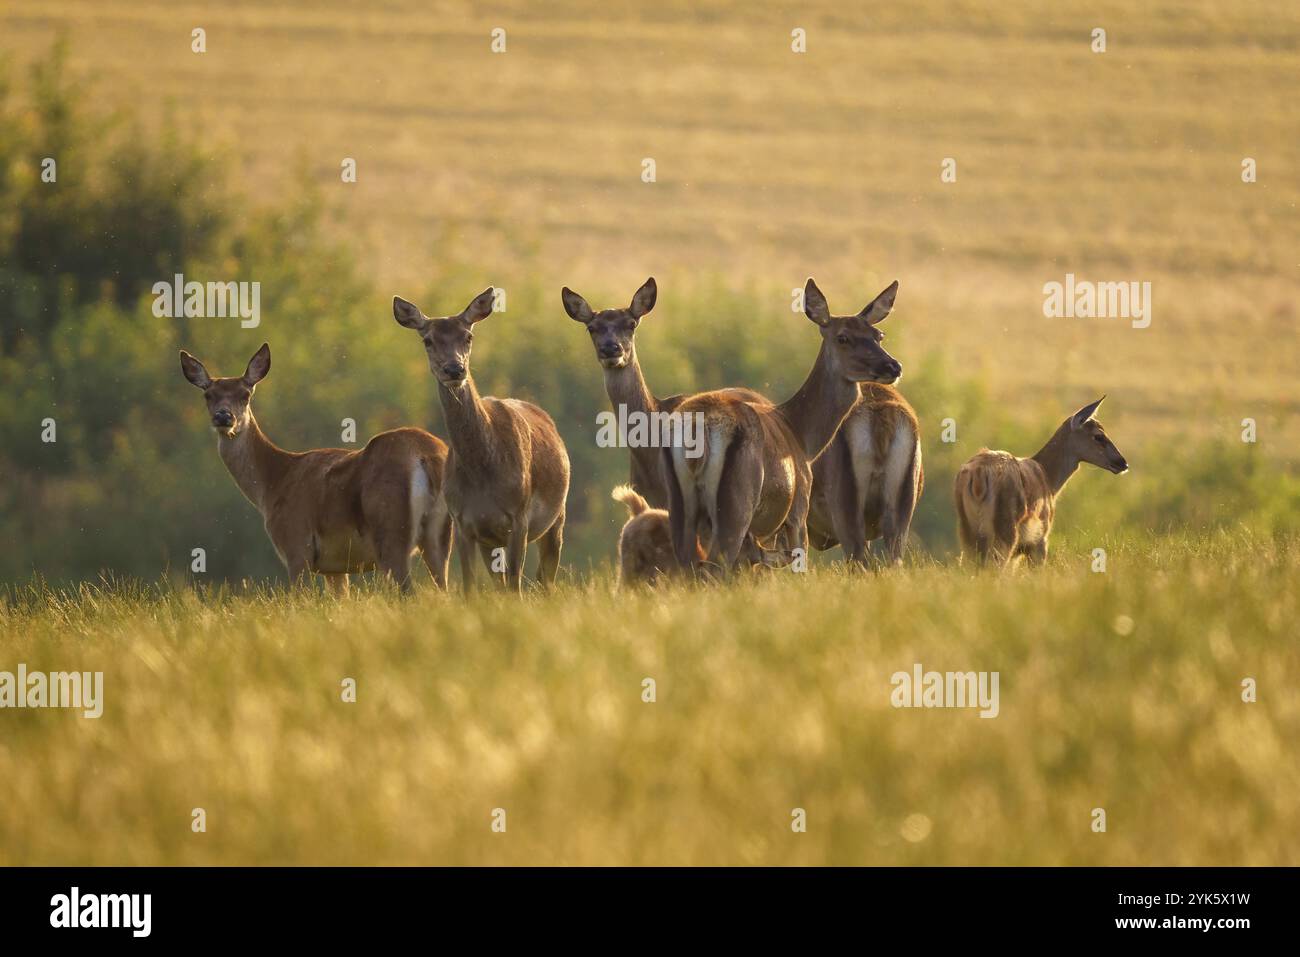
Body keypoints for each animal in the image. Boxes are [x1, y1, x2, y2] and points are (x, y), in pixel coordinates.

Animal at [178, 340, 452, 595]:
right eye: (208, 395)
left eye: (245, 395)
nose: (224, 416)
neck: (273, 483)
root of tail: (426, 455)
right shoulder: (336, 567)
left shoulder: (296, 543)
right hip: (440, 533)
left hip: (391, 527)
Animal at [392, 287, 572, 595]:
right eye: (428, 340)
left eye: (468, 336)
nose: (454, 369)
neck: (483, 473)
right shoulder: (463, 523)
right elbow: (470, 588)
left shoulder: (519, 517)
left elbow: (515, 587)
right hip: (491, 541)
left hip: (556, 517)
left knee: (545, 579)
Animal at [660, 276, 904, 574]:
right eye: (843, 337)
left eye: (879, 335)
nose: (893, 366)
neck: (802, 437)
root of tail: (700, 430)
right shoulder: (799, 507)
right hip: (737, 503)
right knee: (717, 564)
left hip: (679, 504)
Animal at [956, 395, 1128, 566]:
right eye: (1099, 436)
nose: (1122, 462)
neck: (1049, 481)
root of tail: (978, 477)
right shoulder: (1040, 540)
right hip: (1006, 531)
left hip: (968, 533)